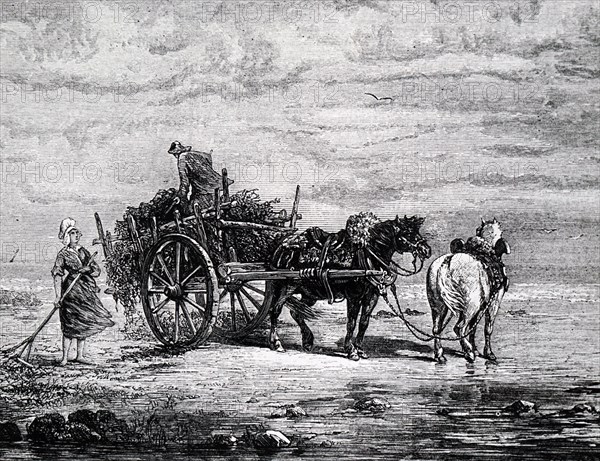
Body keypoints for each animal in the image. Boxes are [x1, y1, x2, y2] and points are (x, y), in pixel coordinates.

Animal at [268, 215, 432, 360]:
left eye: (416, 231)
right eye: (408, 233)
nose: (427, 250)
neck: (366, 257)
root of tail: (284, 246)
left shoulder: (371, 296)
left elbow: (364, 322)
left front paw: (359, 349)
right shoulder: (353, 296)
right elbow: (351, 323)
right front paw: (350, 350)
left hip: (310, 293)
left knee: (295, 313)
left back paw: (307, 340)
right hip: (287, 287)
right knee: (275, 310)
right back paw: (276, 343)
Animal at [426, 219, 510, 362]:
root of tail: (447, 263)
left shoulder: (482, 305)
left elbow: (473, 328)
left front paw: (476, 349)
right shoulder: (494, 301)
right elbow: (488, 328)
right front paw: (488, 353)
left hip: (437, 305)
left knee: (437, 329)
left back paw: (440, 355)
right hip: (471, 305)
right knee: (459, 328)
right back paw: (469, 353)